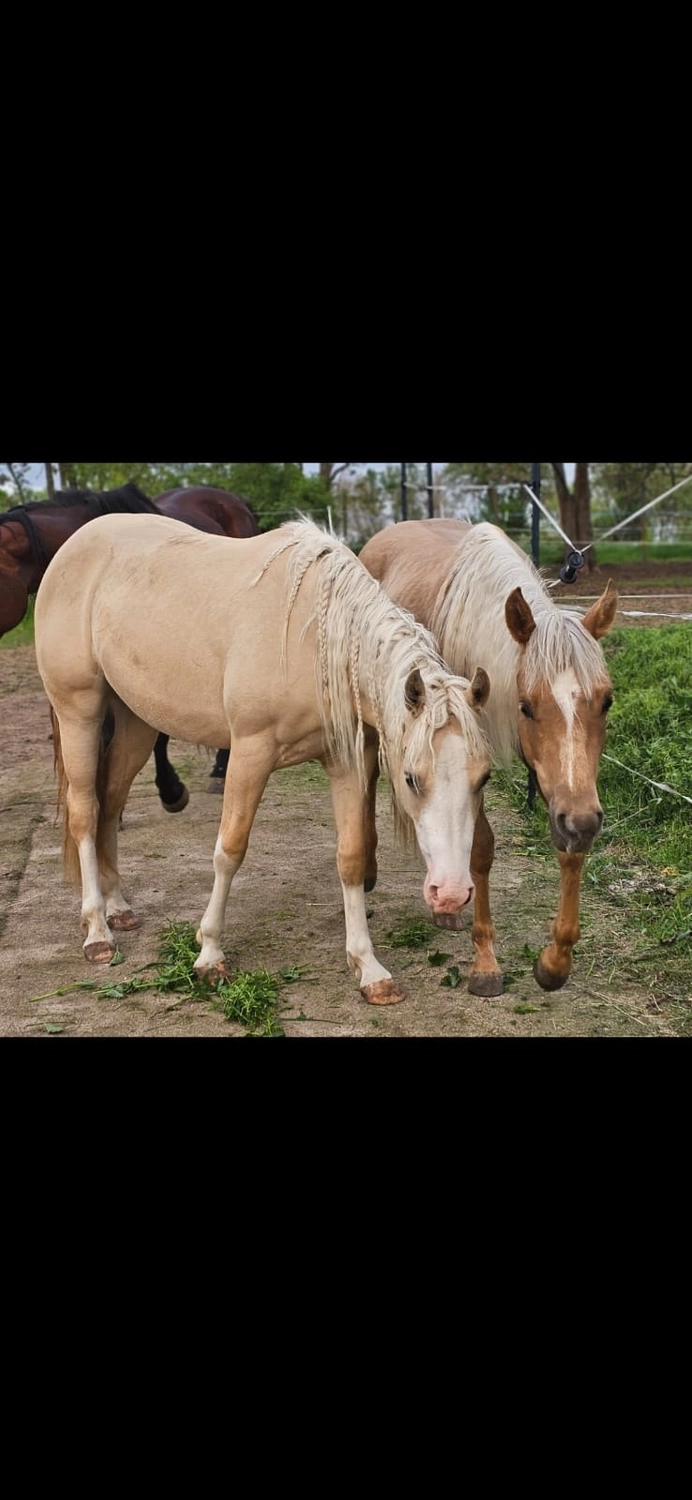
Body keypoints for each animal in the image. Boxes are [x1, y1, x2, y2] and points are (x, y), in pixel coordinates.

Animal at [34, 513, 493, 1004]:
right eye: (410, 778)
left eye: (484, 778)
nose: (451, 894)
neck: (317, 639)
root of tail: (76, 543)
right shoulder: (249, 753)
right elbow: (229, 850)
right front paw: (209, 954)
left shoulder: (347, 763)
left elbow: (351, 857)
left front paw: (370, 969)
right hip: (79, 712)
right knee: (85, 812)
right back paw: (98, 931)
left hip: (136, 724)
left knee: (110, 805)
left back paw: (118, 908)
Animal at [358, 518, 618, 996]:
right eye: (526, 706)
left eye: (606, 701)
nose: (583, 822)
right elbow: (480, 849)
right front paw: (485, 964)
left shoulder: (564, 789)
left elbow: (568, 850)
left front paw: (555, 961)